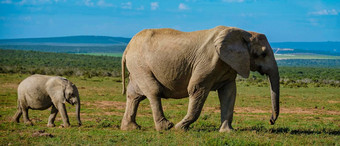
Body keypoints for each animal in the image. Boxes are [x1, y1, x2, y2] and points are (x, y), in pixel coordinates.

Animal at [121, 25, 280, 132]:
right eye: (263, 54)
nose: (271, 121)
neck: (243, 32)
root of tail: (127, 47)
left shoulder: (229, 64)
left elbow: (229, 93)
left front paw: (227, 132)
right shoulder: (208, 61)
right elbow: (196, 89)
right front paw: (179, 128)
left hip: (136, 66)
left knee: (134, 95)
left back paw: (130, 128)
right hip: (140, 64)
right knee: (154, 91)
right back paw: (166, 127)